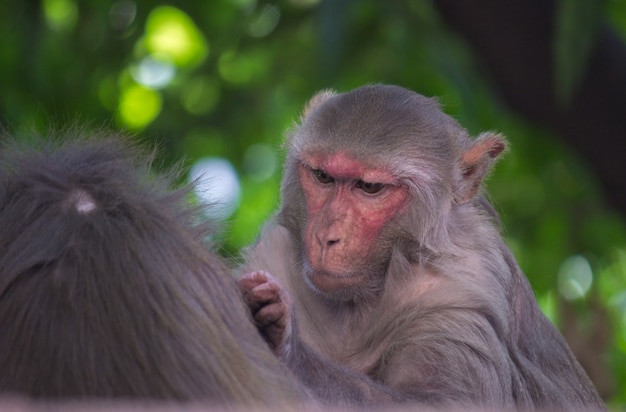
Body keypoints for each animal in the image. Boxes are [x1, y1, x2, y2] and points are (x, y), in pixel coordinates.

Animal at [238, 83, 604, 408]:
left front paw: (286, 342)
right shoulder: (274, 253)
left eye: (370, 187)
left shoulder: (459, 294)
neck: (357, 305)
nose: (327, 236)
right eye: (323, 177)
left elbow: (443, 402)